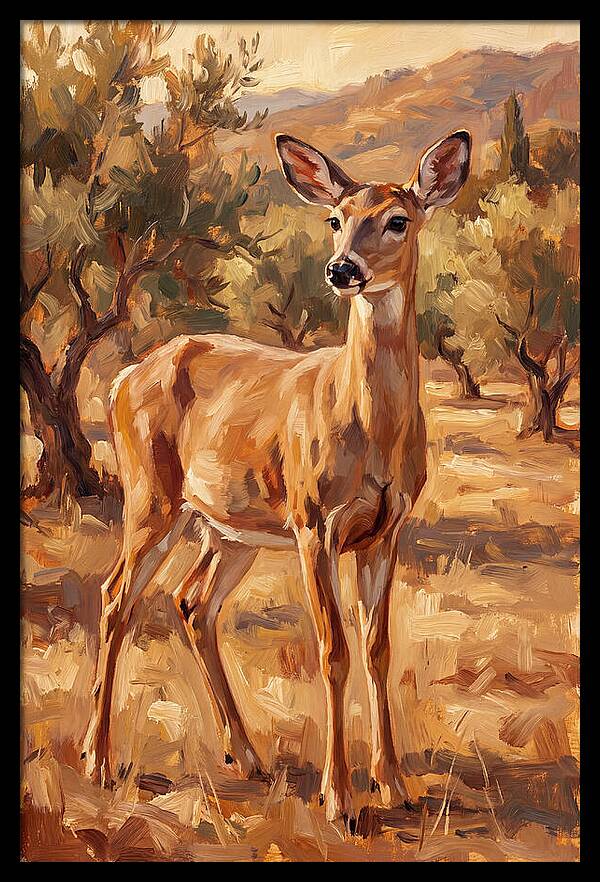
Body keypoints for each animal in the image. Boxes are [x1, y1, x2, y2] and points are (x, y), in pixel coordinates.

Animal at [82, 129, 471, 823]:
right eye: (336, 219)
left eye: (398, 219)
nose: (342, 269)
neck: (370, 426)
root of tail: (124, 378)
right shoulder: (315, 520)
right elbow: (332, 649)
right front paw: (339, 798)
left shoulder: (385, 531)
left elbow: (378, 649)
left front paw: (394, 785)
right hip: (151, 497)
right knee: (114, 596)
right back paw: (99, 762)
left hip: (229, 528)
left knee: (191, 603)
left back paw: (248, 755)